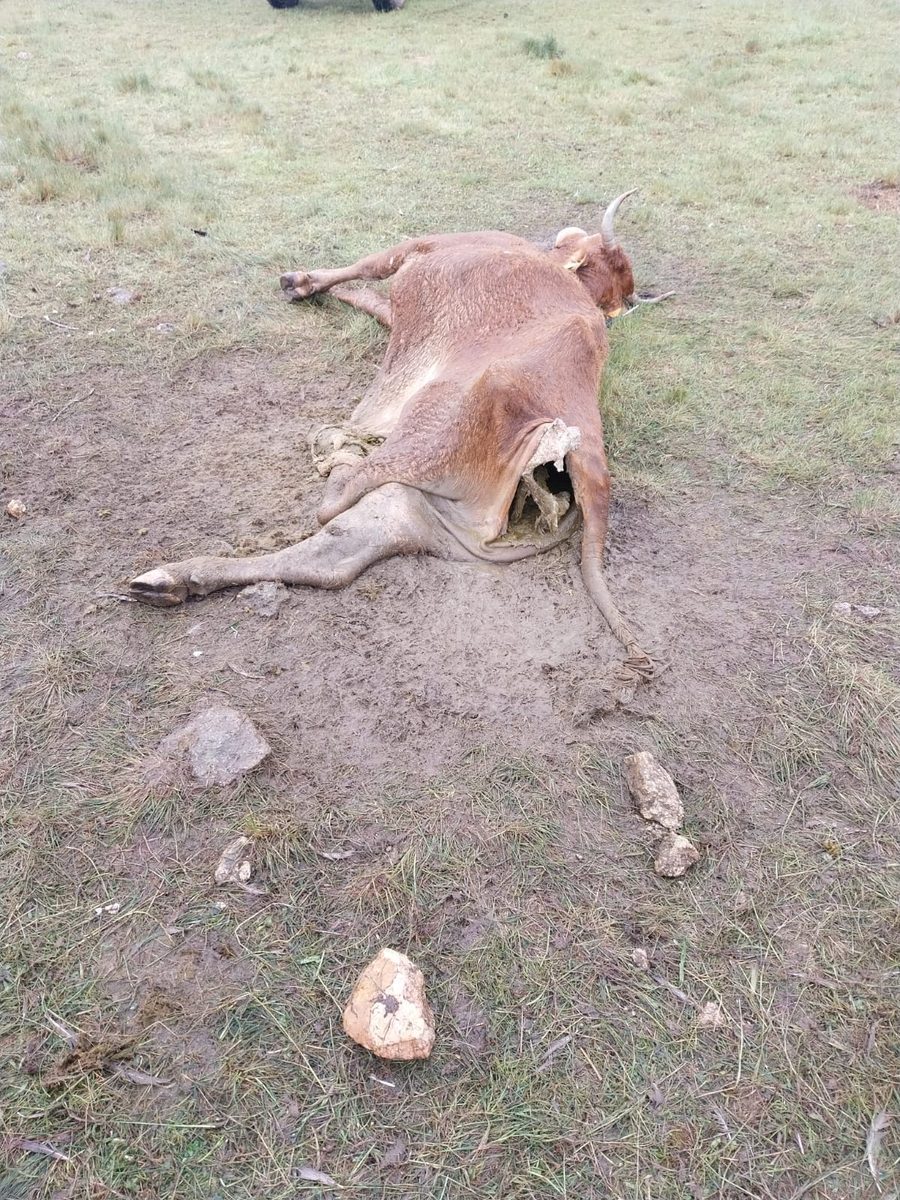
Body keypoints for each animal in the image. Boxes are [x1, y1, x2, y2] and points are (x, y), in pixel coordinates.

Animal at [129, 193, 662, 689]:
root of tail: (583, 455)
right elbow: (370, 296)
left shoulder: (421, 247)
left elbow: (370, 266)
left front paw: (298, 281)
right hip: (423, 512)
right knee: (336, 556)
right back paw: (171, 581)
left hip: (426, 430)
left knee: (337, 499)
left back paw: (339, 445)